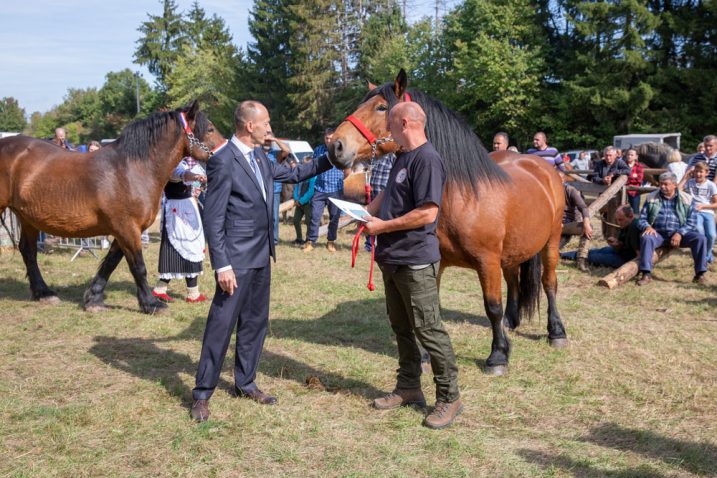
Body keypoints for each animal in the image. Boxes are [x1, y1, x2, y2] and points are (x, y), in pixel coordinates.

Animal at [0, 101, 224, 314]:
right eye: (210, 129)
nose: (225, 153)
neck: (131, 170)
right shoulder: (127, 228)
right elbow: (138, 267)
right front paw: (151, 304)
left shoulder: (124, 230)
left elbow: (110, 263)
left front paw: (93, 299)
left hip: (27, 218)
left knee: (28, 251)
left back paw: (44, 293)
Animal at [328, 71, 568, 376]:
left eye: (381, 107)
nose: (334, 146)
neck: (462, 195)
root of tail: (542, 167)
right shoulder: (434, 263)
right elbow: (427, 309)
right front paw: (426, 356)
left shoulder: (488, 261)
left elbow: (492, 306)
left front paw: (498, 356)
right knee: (514, 280)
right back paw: (511, 321)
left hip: (551, 242)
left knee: (549, 283)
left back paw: (556, 332)